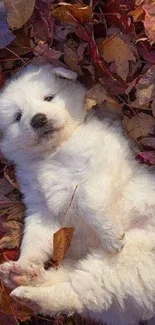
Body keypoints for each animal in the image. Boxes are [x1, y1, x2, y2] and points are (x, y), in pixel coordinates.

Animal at [0, 64, 155, 324]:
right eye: (18, 116)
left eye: (48, 98)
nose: (38, 119)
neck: (54, 152)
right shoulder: (40, 208)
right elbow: (34, 237)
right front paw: (26, 261)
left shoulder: (102, 165)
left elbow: (86, 199)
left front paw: (111, 236)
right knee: (78, 290)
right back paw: (23, 276)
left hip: (133, 259)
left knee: (81, 292)